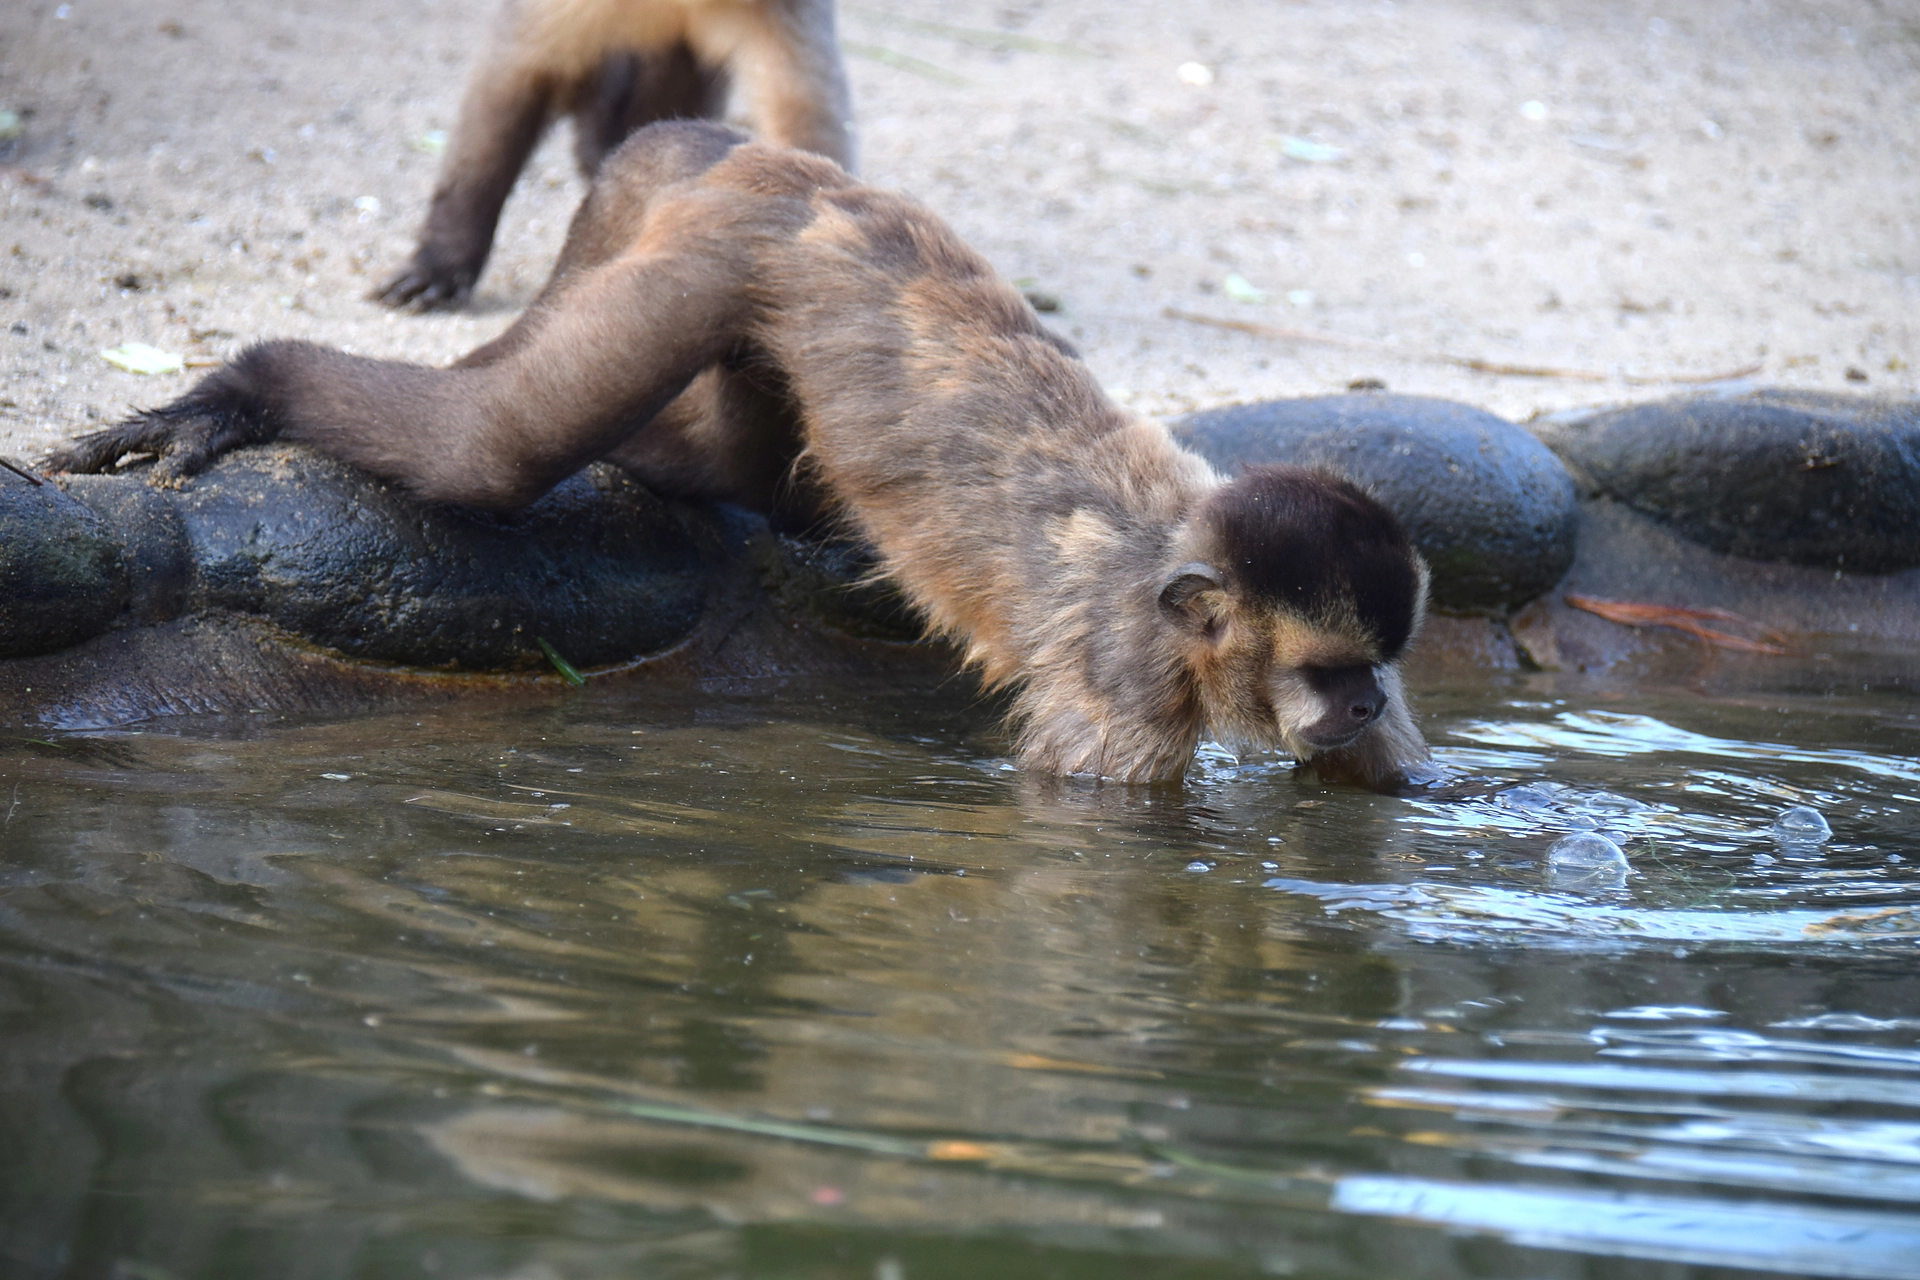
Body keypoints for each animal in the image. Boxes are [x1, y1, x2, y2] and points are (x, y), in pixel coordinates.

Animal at [46, 122, 1431, 787]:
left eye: (1374, 670)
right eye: (1326, 670)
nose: (1361, 700)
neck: (1171, 558)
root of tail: (783, 172)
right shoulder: (1123, 682)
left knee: (722, 464)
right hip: (717, 256)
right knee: (497, 451)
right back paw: (253, 385)